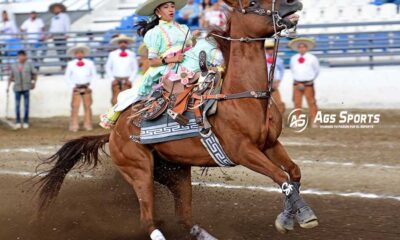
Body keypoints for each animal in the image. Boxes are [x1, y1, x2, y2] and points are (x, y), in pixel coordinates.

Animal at [38, 0, 318, 239]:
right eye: (251, 3)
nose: (292, 3)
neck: (243, 95)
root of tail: (114, 132)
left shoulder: (270, 144)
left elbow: (293, 173)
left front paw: (289, 216)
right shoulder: (244, 152)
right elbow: (281, 177)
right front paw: (302, 216)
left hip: (176, 174)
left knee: (184, 218)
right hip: (139, 171)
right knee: (148, 220)